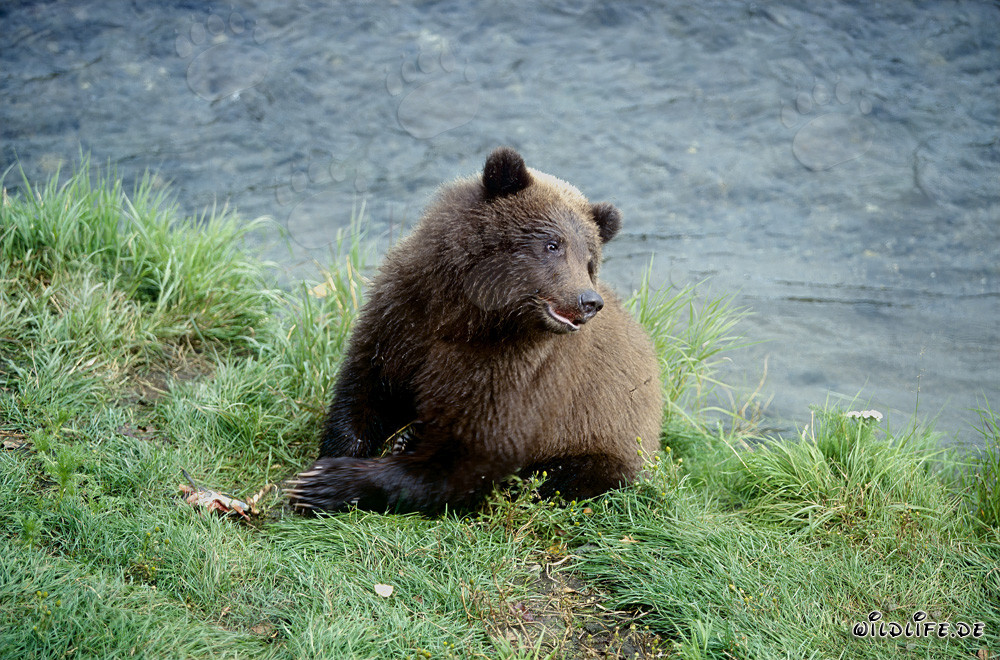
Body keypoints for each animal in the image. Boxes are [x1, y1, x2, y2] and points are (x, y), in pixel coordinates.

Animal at [285, 146, 662, 514]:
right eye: (553, 244)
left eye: (590, 260)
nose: (589, 300)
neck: (467, 316)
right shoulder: (403, 318)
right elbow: (365, 388)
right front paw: (327, 464)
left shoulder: (513, 374)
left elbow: (466, 459)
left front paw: (327, 484)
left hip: (607, 442)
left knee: (568, 476)